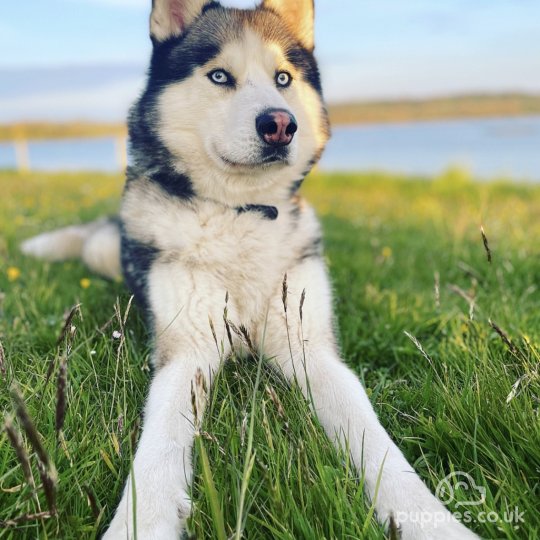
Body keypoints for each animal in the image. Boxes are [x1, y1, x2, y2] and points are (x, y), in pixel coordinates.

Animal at [21, 2, 478, 536]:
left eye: (283, 78)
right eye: (220, 75)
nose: (279, 124)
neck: (241, 213)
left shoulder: (308, 345)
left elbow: (372, 436)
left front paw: (430, 519)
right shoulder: (189, 351)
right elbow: (159, 448)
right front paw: (140, 522)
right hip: (106, 249)